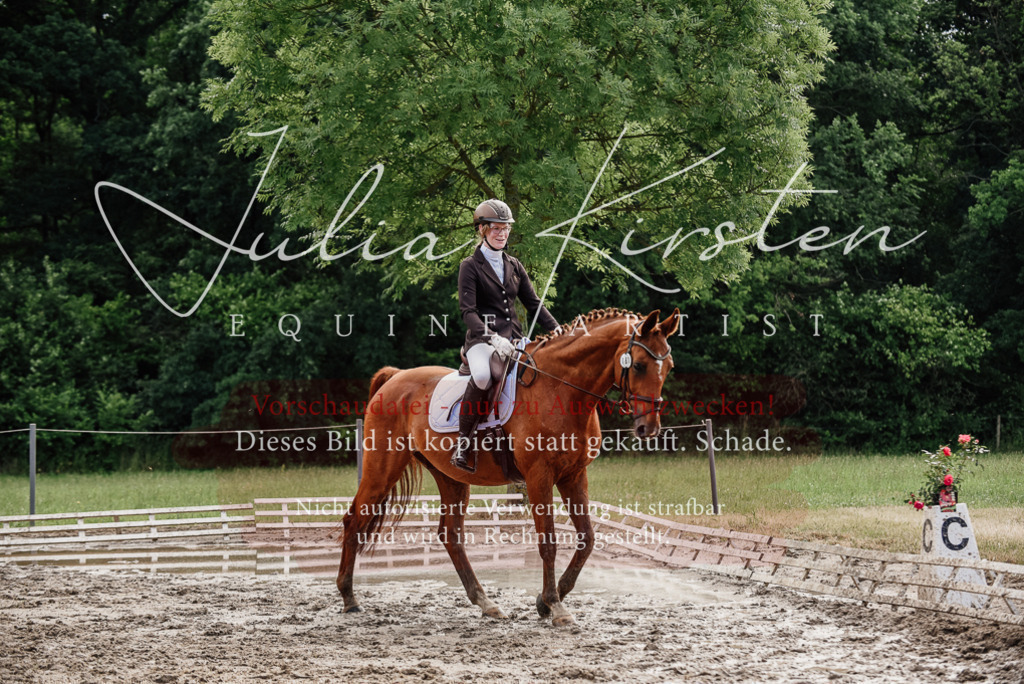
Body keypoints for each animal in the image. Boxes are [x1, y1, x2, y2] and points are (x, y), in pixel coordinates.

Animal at [336, 307, 680, 626]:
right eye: (639, 365)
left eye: (669, 368)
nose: (649, 428)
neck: (561, 389)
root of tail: (394, 377)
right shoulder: (539, 477)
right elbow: (548, 542)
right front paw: (555, 606)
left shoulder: (573, 475)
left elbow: (587, 538)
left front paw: (546, 601)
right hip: (382, 470)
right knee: (353, 520)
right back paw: (349, 598)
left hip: (451, 477)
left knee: (451, 535)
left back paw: (485, 602)